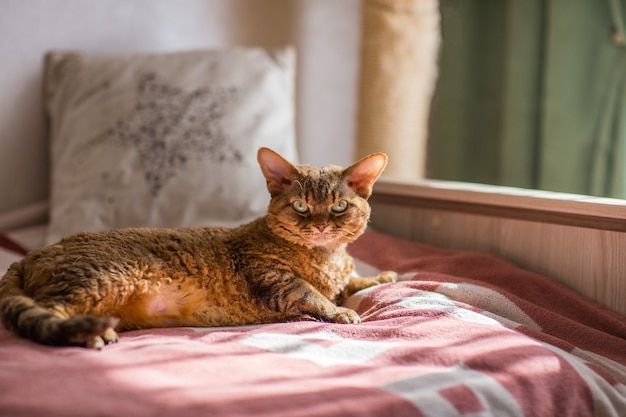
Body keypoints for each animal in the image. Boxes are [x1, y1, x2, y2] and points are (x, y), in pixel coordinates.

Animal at [0, 146, 394, 348]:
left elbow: (352, 281)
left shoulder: (337, 274)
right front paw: (340, 311)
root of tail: (31, 255)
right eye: (300, 206)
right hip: (99, 279)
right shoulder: (274, 278)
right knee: (48, 312)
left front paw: (380, 277)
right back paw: (91, 335)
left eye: (339, 206)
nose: (321, 225)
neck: (326, 257)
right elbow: (313, 294)